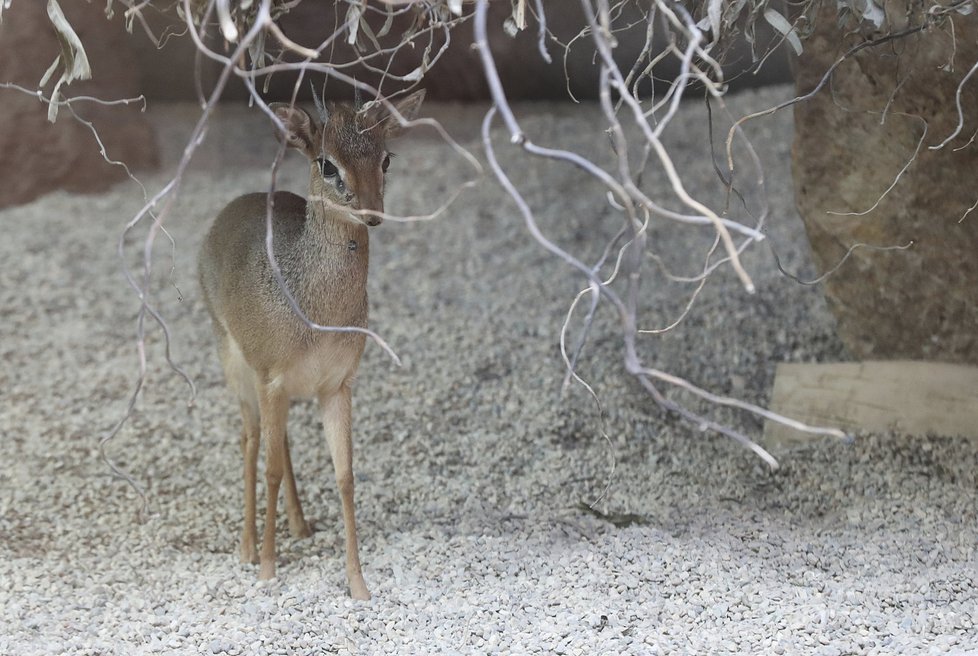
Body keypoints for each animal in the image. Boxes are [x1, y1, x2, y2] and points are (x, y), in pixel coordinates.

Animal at [198, 84, 424, 596]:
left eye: (386, 158)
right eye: (327, 164)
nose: (371, 213)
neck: (319, 317)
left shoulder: (336, 385)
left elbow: (345, 475)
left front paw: (358, 584)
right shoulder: (271, 378)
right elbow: (270, 469)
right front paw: (266, 570)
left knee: (280, 442)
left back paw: (300, 526)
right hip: (234, 365)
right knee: (251, 440)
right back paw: (246, 547)